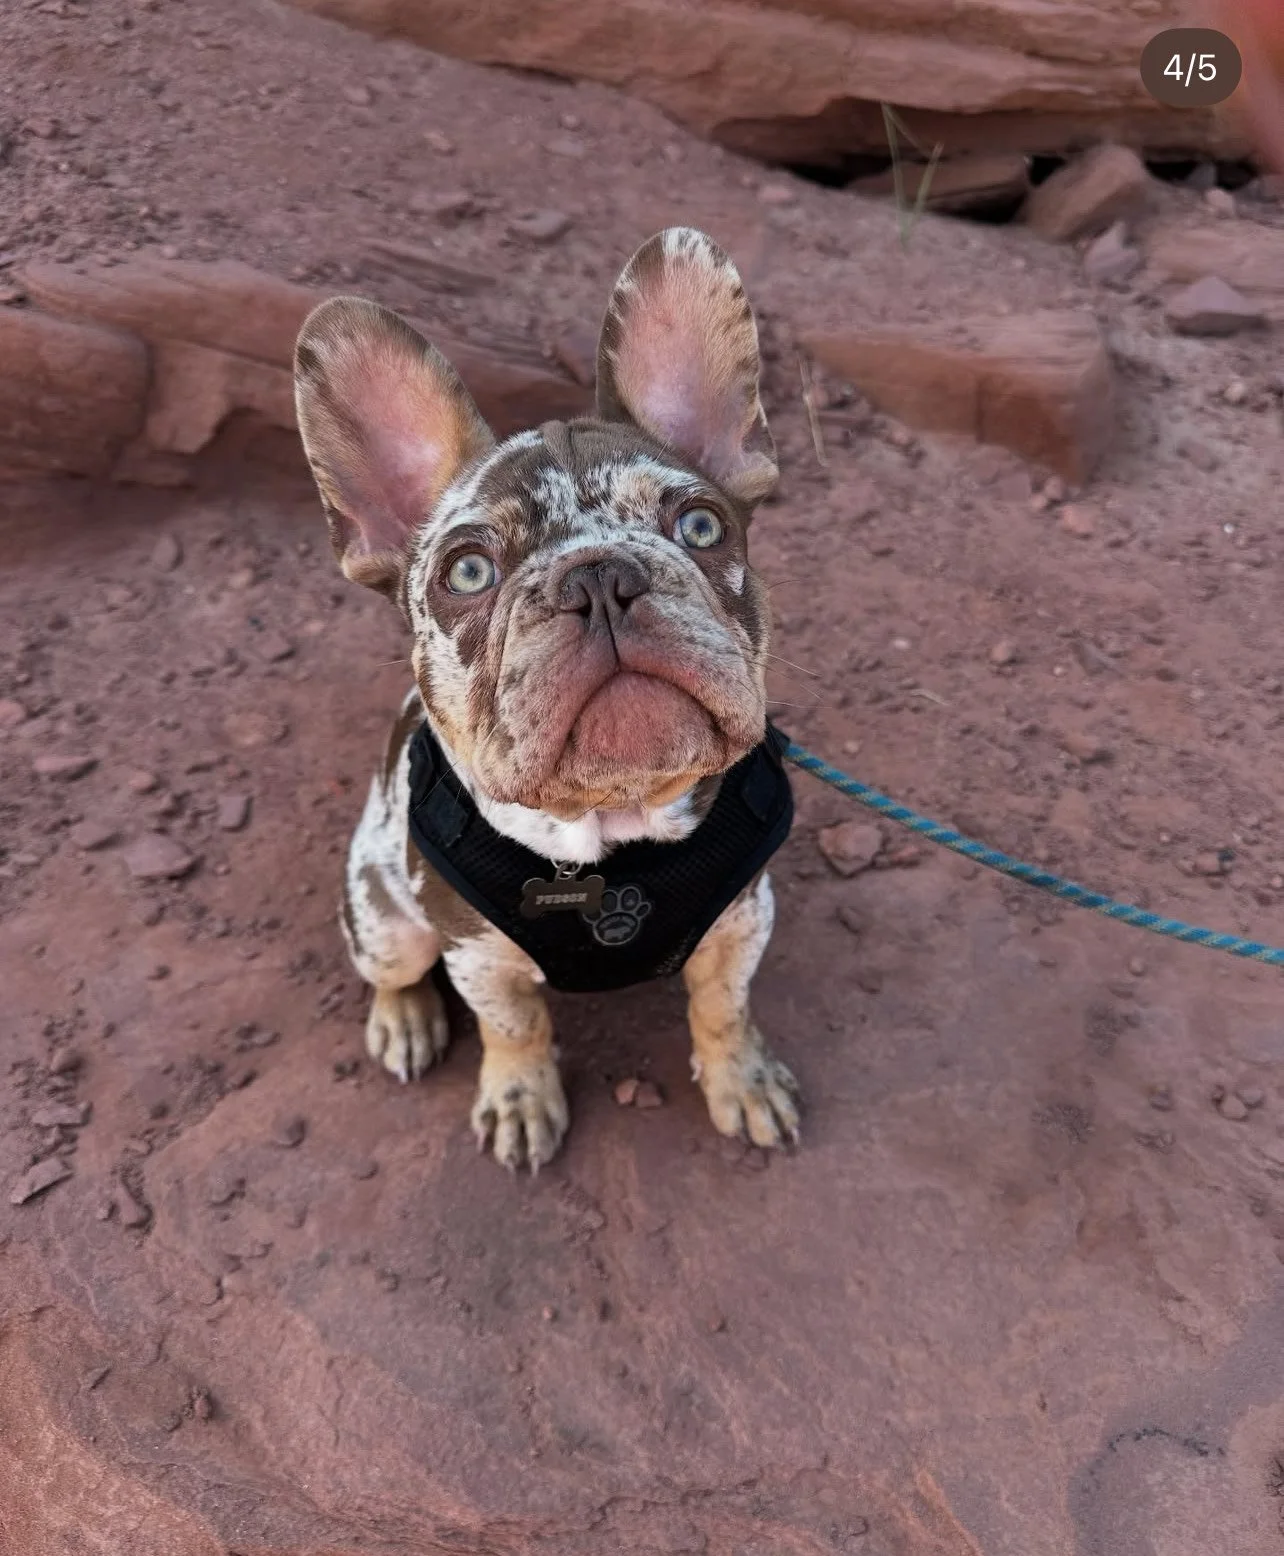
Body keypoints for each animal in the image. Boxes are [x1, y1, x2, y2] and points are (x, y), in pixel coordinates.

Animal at [293, 227, 800, 1172]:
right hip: (385, 917)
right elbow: (515, 1029)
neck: (610, 836)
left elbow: (724, 1009)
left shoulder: (743, 922)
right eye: (466, 572)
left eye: (701, 525)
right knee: (392, 967)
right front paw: (520, 1099)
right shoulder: (476, 958)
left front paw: (742, 1081)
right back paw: (403, 1021)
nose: (599, 577)